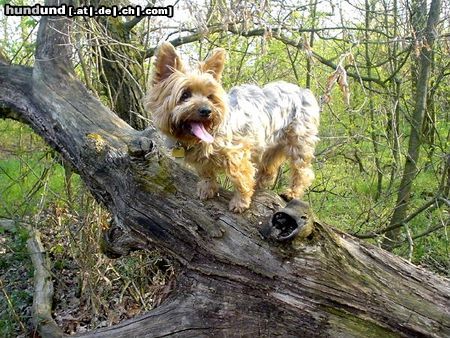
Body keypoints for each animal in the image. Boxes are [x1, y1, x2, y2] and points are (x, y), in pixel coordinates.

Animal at [145, 41, 320, 211]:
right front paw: (207, 188)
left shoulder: (238, 154)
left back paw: (292, 192)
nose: (206, 110)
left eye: (210, 96)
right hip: (272, 145)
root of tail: (304, 91)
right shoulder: (201, 161)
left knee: (303, 171)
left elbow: (241, 179)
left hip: (299, 142)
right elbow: (206, 173)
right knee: (268, 170)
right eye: (185, 95)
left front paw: (240, 202)